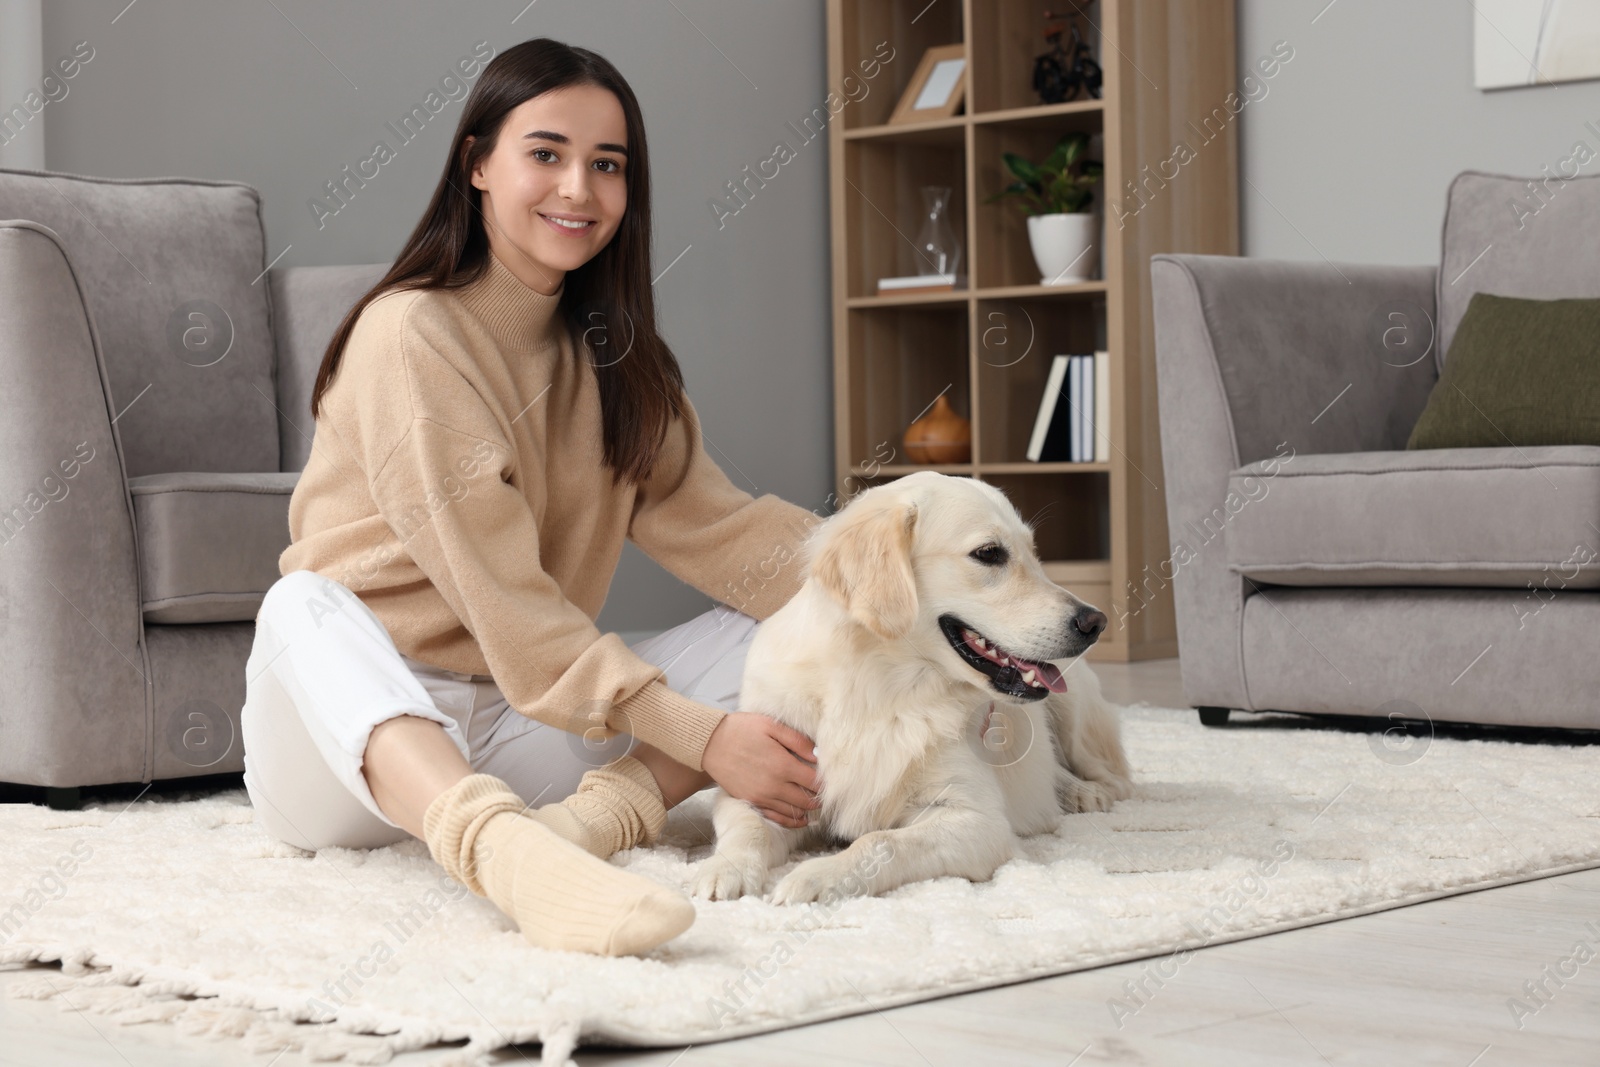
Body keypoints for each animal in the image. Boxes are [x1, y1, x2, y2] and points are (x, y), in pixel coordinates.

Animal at [694, 470, 1132, 908]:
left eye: (1033, 551)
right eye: (989, 553)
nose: (1096, 622)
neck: (881, 686)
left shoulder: (978, 821)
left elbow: (879, 841)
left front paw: (817, 876)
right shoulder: (761, 783)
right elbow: (746, 829)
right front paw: (723, 869)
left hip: (1073, 706)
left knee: (1103, 771)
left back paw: (1085, 792)